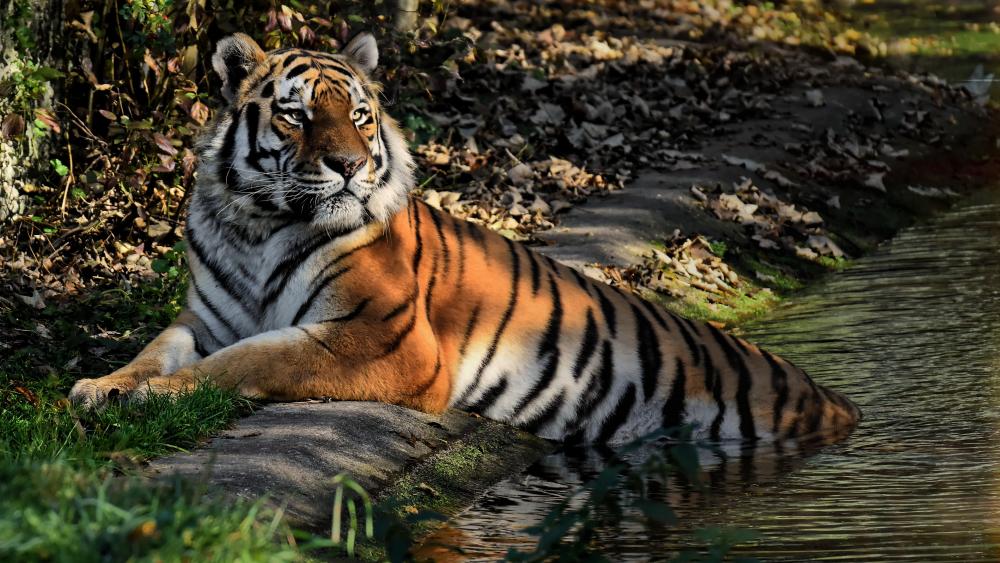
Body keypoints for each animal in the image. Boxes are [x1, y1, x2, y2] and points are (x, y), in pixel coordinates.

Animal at [69, 32, 861, 445]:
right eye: (296, 116)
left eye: (359, 115)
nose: (349, 166)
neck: (258, 222)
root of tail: (841, 403)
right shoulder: (204, 318)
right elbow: (158, 349)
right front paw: (104, 386)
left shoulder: (382, 339)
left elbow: (251, 358)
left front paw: (157, 396)